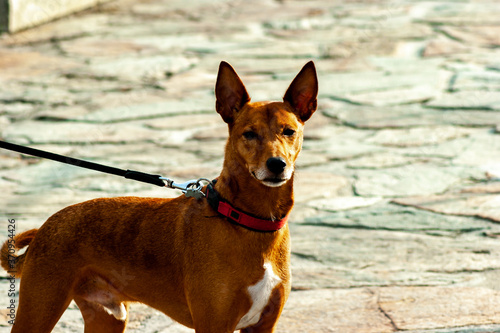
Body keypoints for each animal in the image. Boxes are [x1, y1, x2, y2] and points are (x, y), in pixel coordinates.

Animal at [1, 61, 318, 330]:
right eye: (249, 134)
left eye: (289, 131)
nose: (276, 164)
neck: (247, 220)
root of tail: (46, 226)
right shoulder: (213, 325)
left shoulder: (263, 325)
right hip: (39, 311)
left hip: (107, 317)